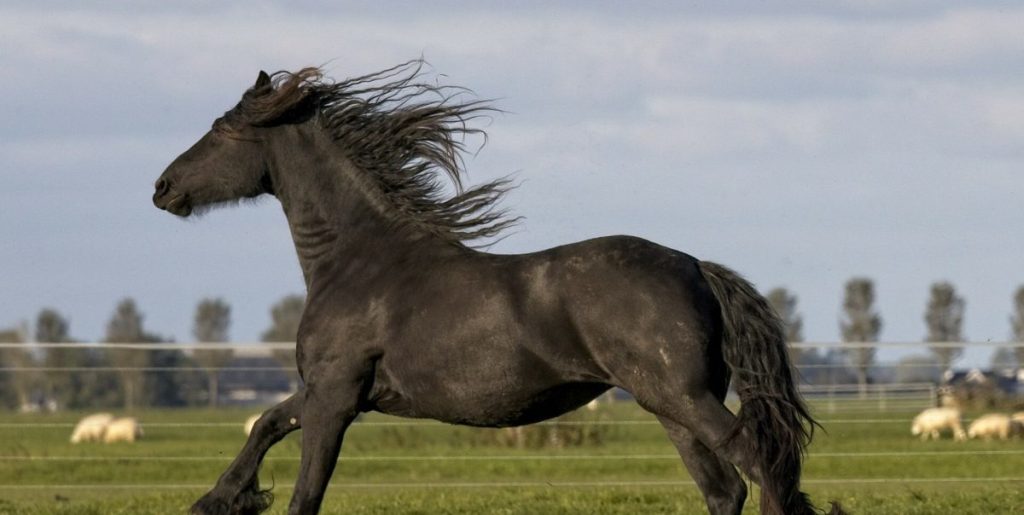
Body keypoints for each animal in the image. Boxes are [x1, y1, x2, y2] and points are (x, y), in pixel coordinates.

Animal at [153, 61, 842, 515]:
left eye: (223, 129)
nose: (163, 187)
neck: (358, 261)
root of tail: (697, 267)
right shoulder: (331, 392)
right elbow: (266, 423)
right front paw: (219, 499)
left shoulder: (334, 397)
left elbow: (304, 489)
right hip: (670, 405)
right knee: (726, 488)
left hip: (685, 397)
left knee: (760, 464)